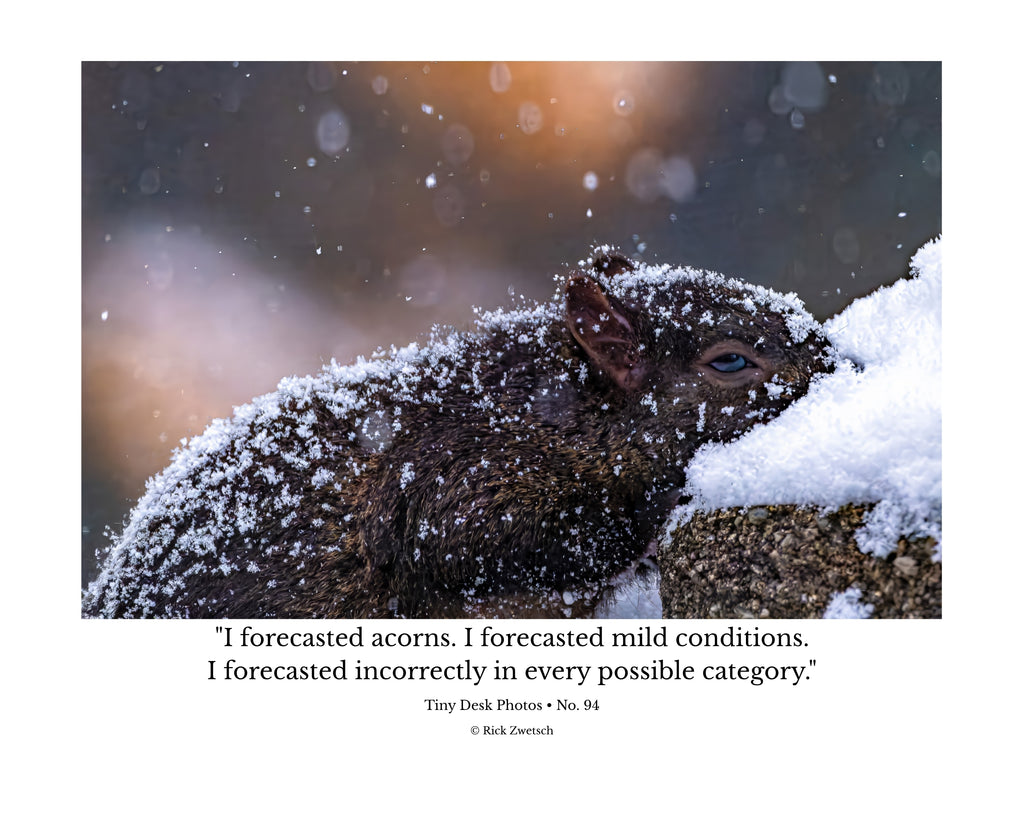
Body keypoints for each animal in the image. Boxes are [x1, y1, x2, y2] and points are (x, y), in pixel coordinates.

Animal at [82, 249, 835, 618]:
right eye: (730, 361)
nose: (841, 362)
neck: (559, 420)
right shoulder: (457, 480)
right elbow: (490, 544)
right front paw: (654, 519)